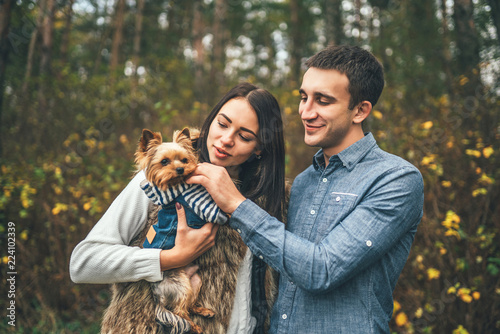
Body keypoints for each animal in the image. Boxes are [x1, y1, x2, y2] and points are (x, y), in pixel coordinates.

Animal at [100, 128, 220, 334]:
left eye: (184, 160)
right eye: (164, 161)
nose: (180, 169)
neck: (177, 183)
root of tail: (158, 297)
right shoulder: (199, 204)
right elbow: (215, 208)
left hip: (195, 281)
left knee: (188, 306)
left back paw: (204, 311)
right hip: (181, 285)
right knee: (181, 312)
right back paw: (196, 327)